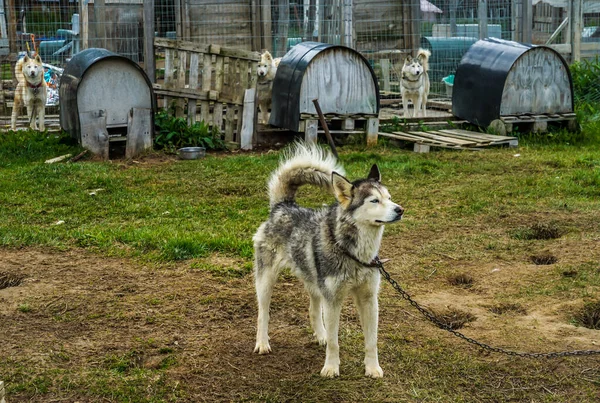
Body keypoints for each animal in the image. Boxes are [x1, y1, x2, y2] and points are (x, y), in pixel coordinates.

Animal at [253, 143, 404, 378]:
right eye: (374, 200)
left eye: (388, 197)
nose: (400, 210)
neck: (354, 252)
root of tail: (283, 206)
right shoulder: (333, 300)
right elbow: (335, 341)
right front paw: (331, 367)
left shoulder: (369, 299)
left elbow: (372, 341)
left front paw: (372, 368)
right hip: (266, 281)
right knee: (263, 313)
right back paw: (262, 343)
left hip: (314, 282)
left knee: (313, 309)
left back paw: (320, 335)